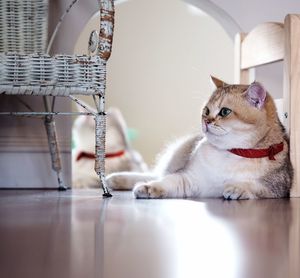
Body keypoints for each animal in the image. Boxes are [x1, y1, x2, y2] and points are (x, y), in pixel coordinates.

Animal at [107, 76, 292, 200]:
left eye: (225, 111)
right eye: (206, 110)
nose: (206, 121)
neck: (231, 153)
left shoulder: (279, 187)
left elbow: (257, 187)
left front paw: (238, 188)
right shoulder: (189, 178)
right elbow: (166, 181)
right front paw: (148, 188)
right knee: (157, 174)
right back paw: (115, 179)